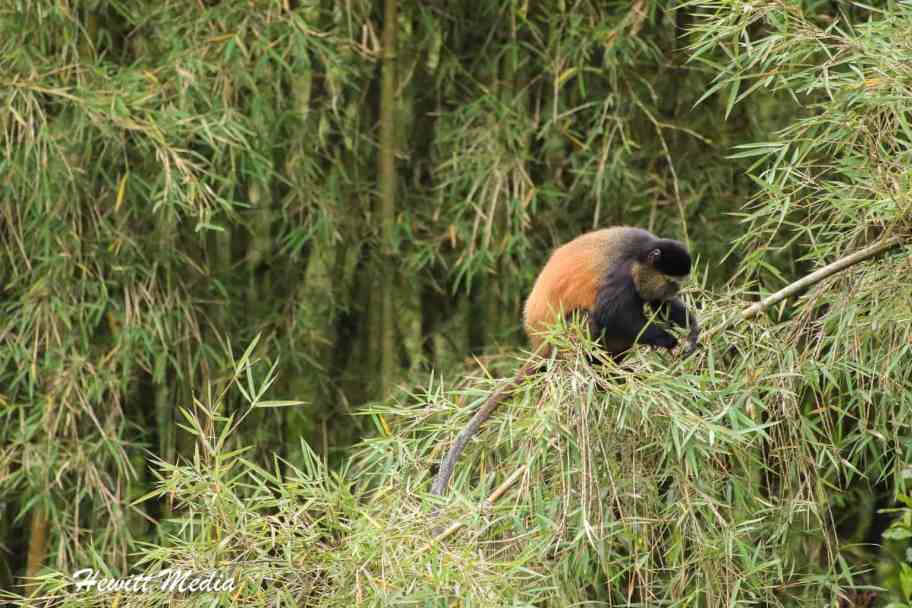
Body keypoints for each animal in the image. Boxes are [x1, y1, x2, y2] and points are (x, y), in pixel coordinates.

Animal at [429, 227, 699, 500]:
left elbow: (657, 306)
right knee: (591, 319)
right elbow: (613, 314)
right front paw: (666, 339)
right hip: (568, 338)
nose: (674, 292)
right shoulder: (620, 276)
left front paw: (691, 329)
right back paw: (601, 375)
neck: (640, 255)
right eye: (671, 282)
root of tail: (541, 345)